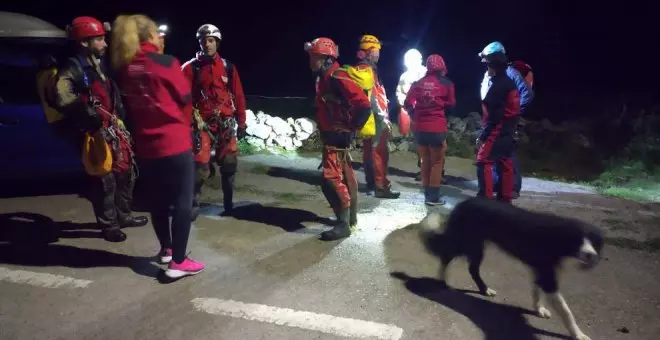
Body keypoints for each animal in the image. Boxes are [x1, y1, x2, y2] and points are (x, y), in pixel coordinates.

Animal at [422, 197, 604, 340]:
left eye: (594, 242)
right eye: (577, 240)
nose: (590, 254)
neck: (557, 238)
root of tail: (462, 203)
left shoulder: (540, 269)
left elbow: (536, 291)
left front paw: (539, 308)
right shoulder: (547, 276)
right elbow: (566, 311)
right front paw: (578, 334)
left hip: (476, 246)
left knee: (472, 268)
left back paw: (484, 289)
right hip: (466, 241)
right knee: (446, 255)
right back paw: (442, 279)